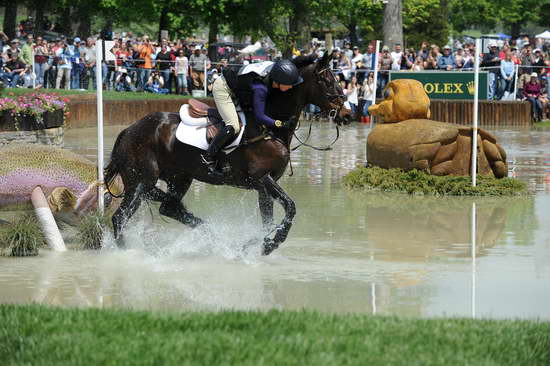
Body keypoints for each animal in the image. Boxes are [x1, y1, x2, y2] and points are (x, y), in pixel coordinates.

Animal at [104, 52, 350, 254]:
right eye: (326, 80)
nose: (346, 114)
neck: (270, 128)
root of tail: (128, 130)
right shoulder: (263, 178)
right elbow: (290, 207)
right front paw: (270, 244)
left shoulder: (264, 186)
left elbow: (267, 221)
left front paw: (256, 245)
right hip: (140, 181)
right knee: (120, 217)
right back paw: (126, 252)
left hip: (180, 177)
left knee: (169, 207)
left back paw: (210, 233)